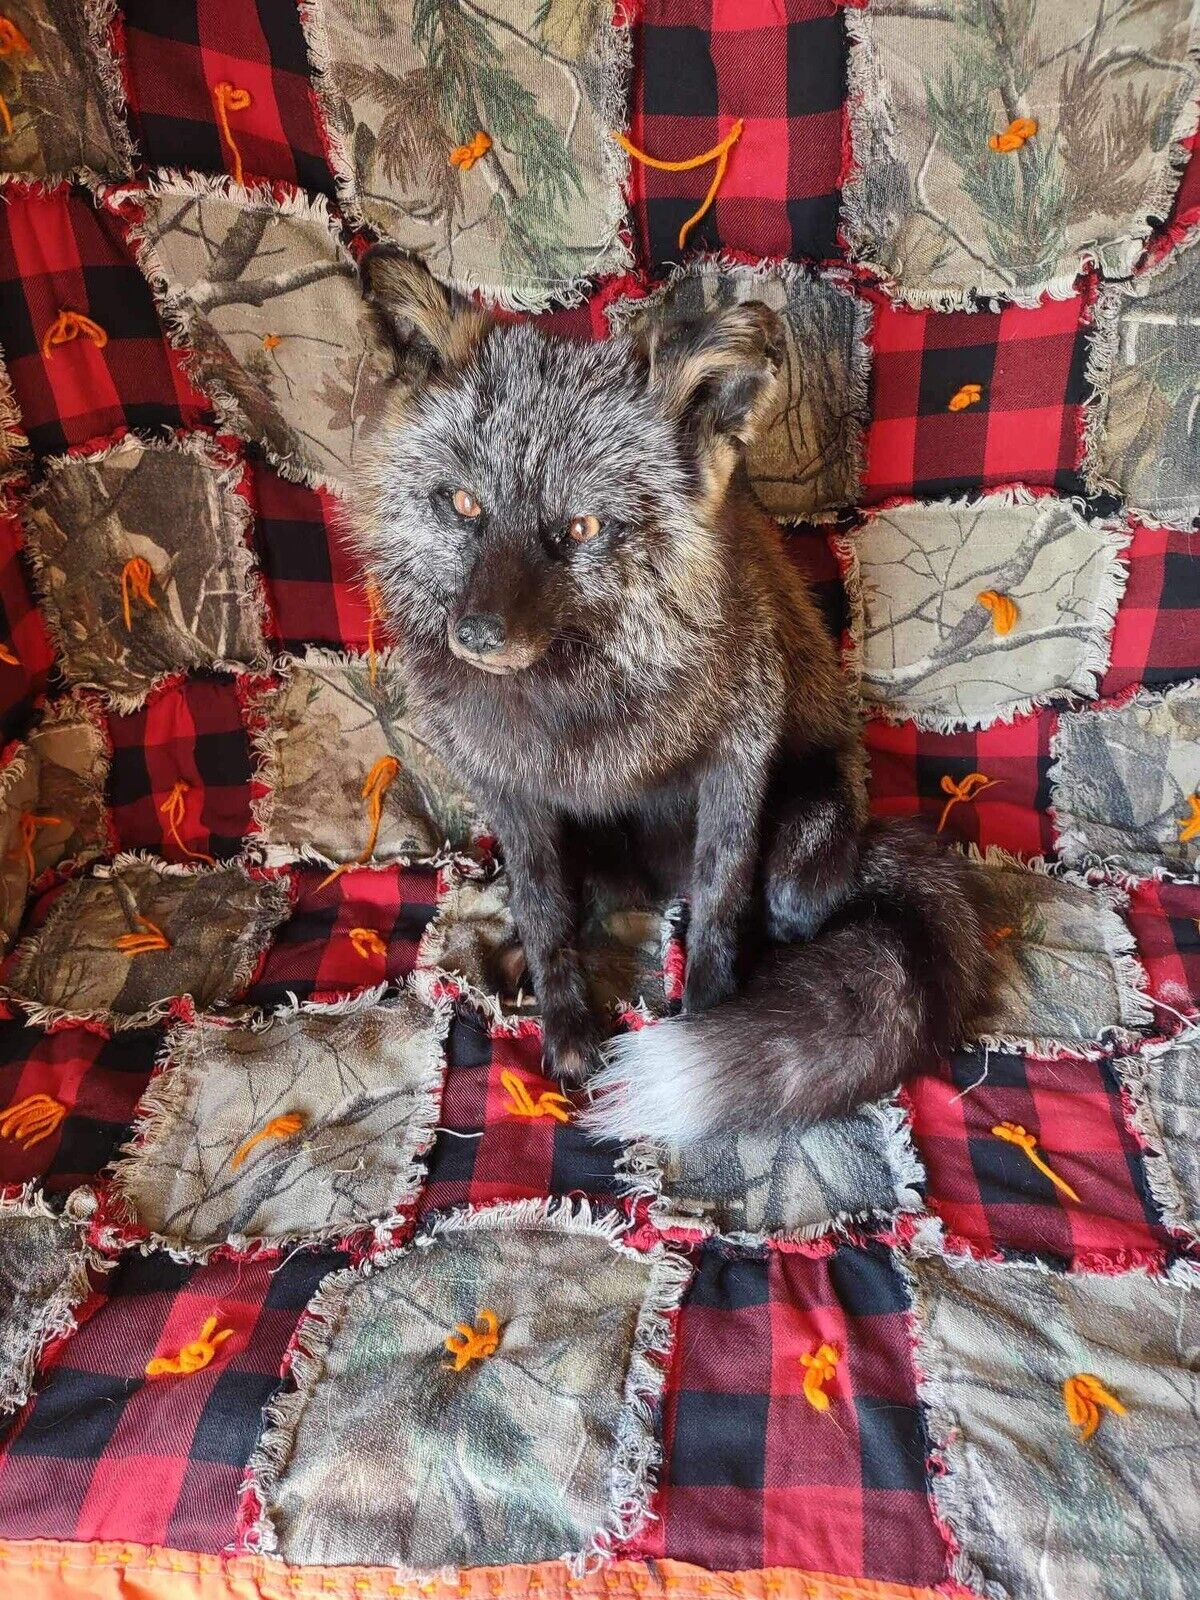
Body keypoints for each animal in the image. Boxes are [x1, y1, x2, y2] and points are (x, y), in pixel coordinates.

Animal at [351, 246, 998, 1147]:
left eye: (582, 529)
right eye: (465, 504)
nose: (476, 634)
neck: (583, 708)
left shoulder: (738, 759)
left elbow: (723, 907)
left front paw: (713, 1016)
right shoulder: (507, 788)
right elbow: (546, 912)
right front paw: (565, 1026)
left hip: (801, 859)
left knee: (776, 913)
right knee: (575, 900)